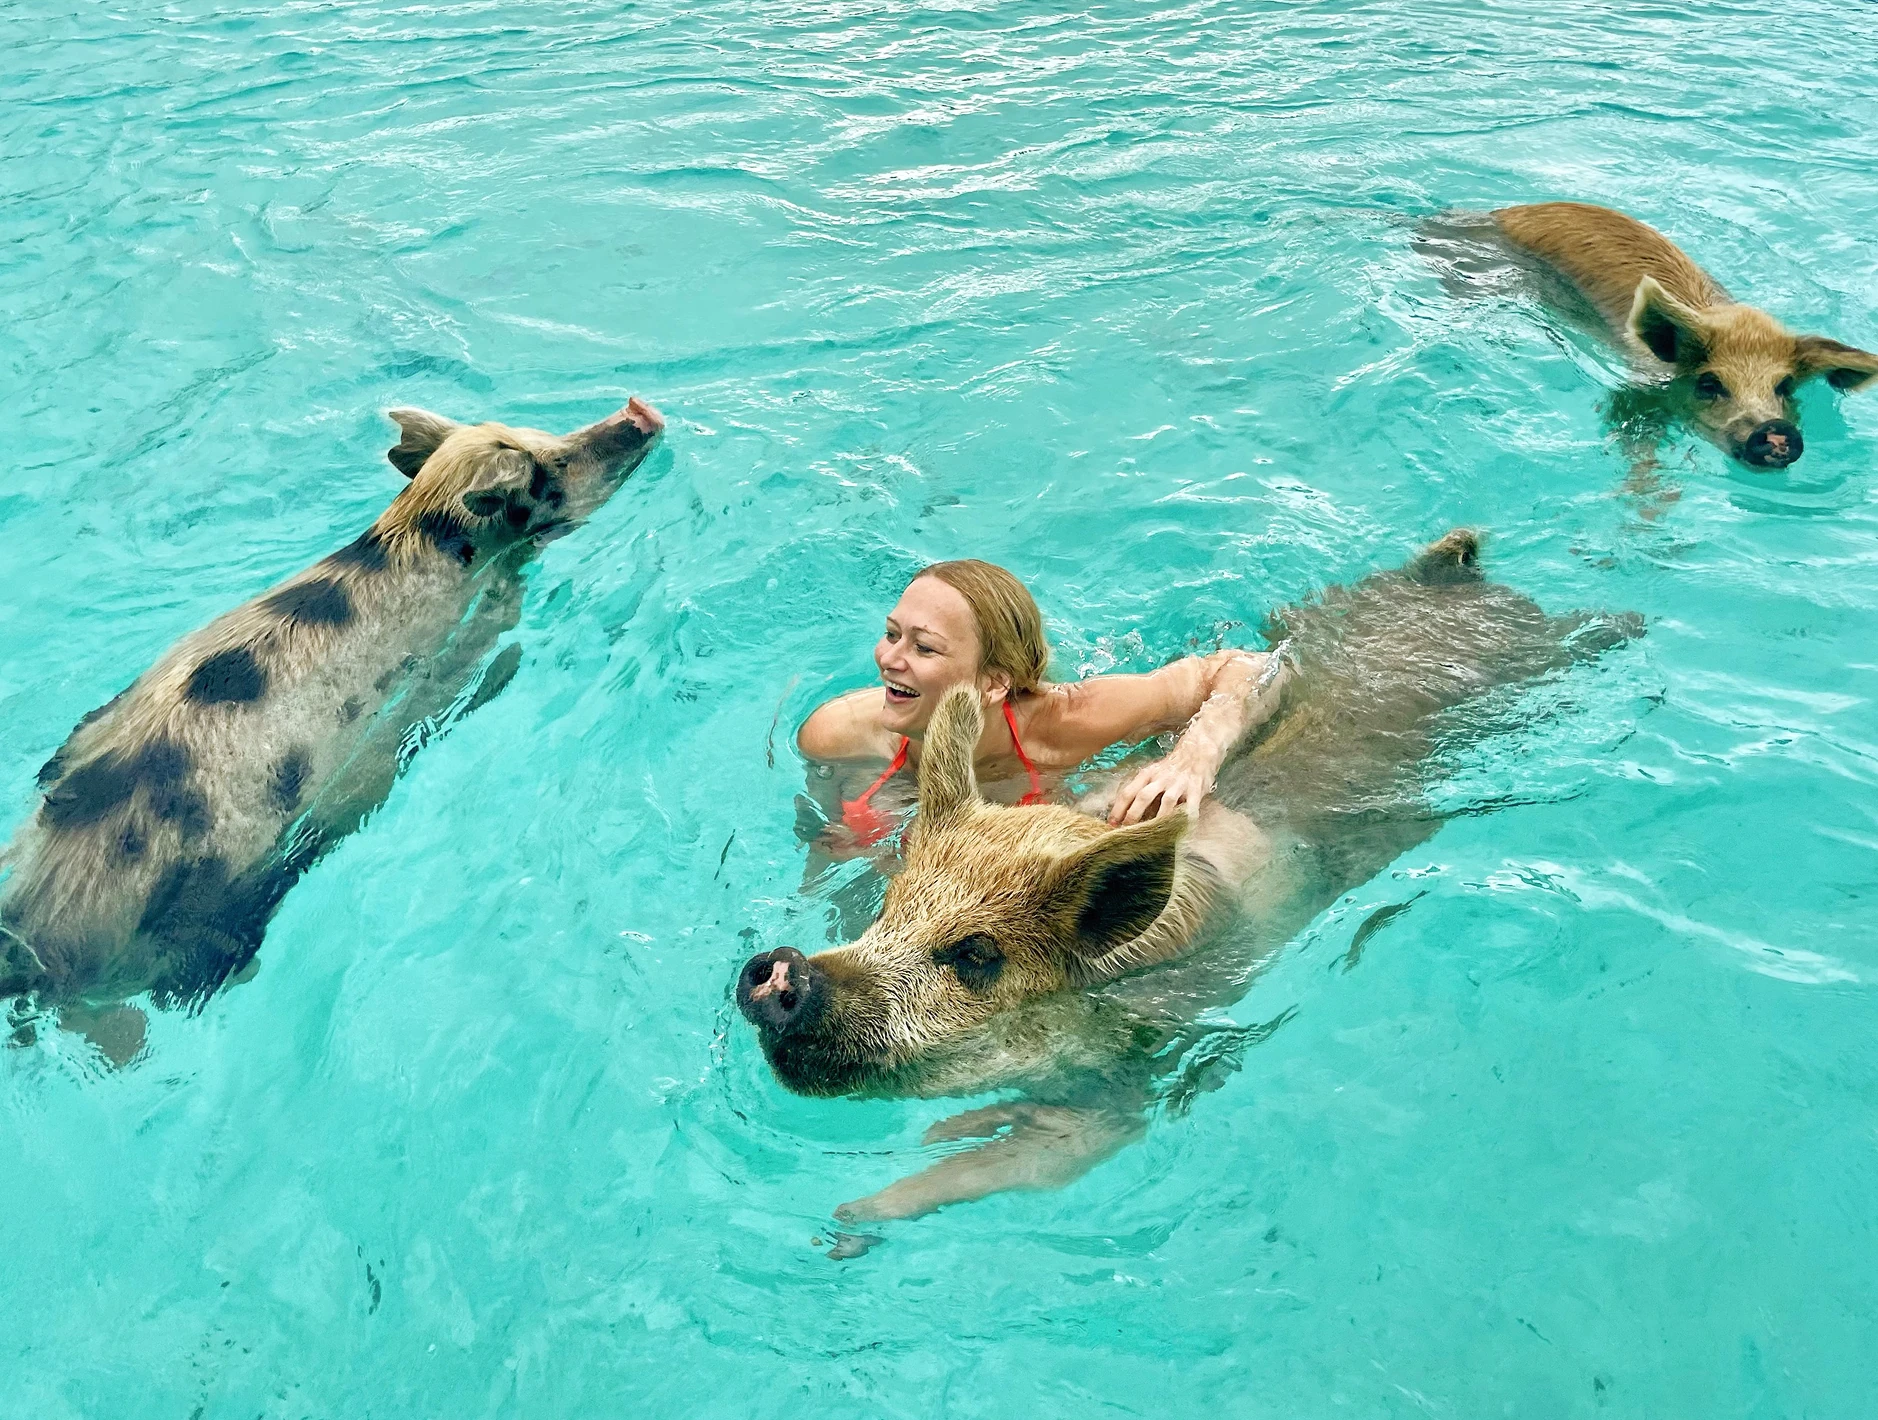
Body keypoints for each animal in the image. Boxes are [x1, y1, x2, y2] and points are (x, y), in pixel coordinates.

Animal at [1, 397, 664, 1058]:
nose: (639, 413)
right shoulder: (468, 641)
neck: (422, 528)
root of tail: (32, 937)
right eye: (554, 466)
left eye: (547, 435)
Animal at [736, 531, 1641, 1235]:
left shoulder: (1141, 1073)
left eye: (978, 955)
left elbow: (1040, 1160)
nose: (784, 969)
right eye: (890, 907)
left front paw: (848, 1223)